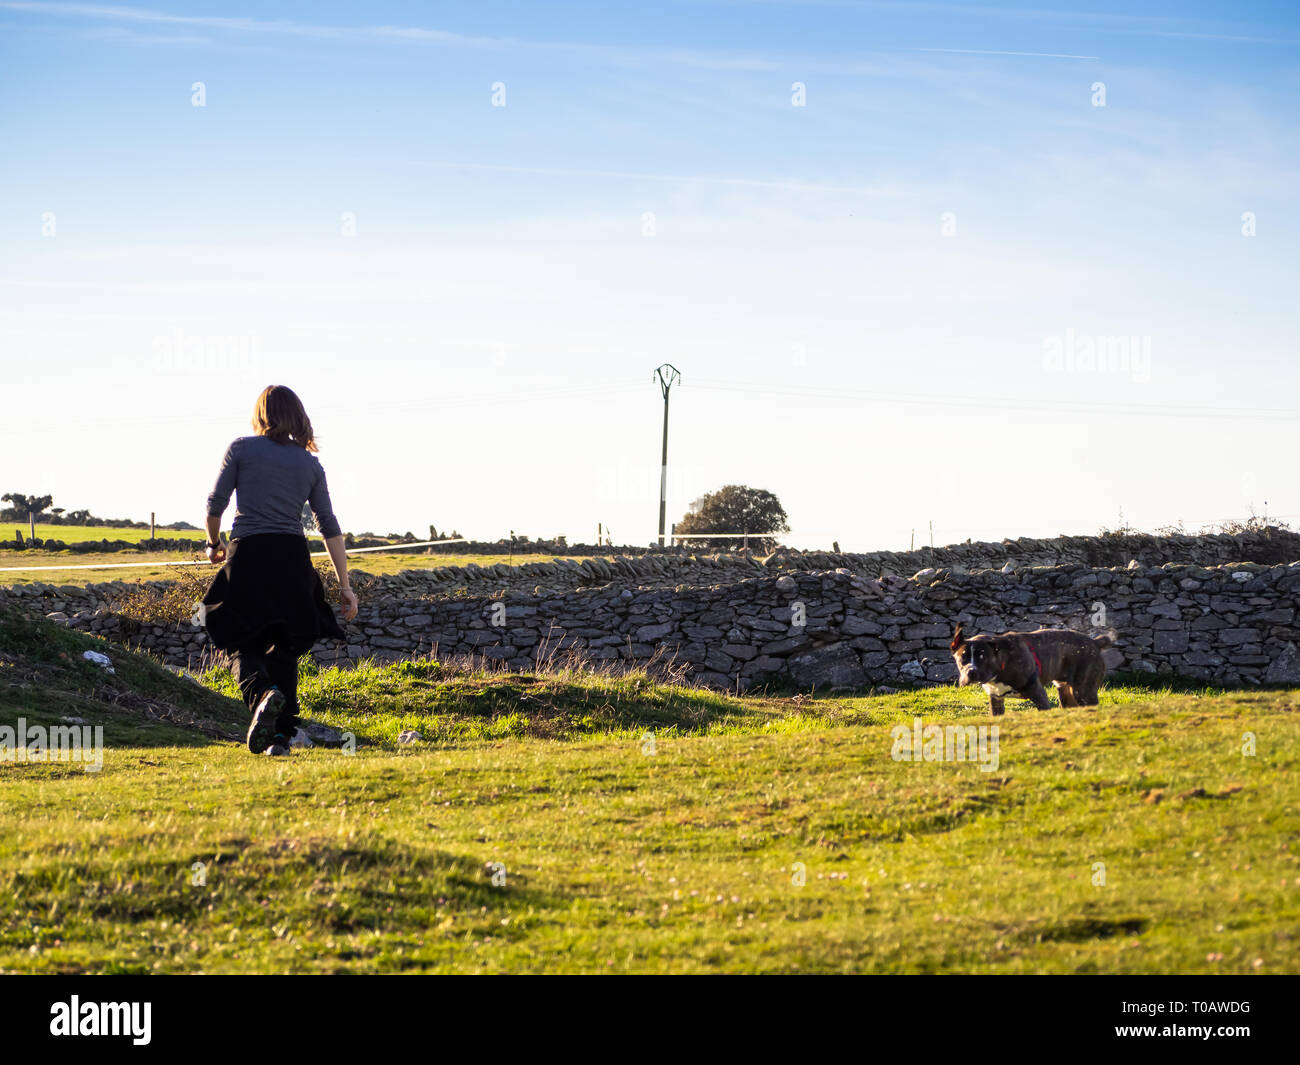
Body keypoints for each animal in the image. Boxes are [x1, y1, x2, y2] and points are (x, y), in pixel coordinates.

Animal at [951, 624, 1112, 717]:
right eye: (962, 658)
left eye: (982, 657)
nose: (971, 672)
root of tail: (1095, 642)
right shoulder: (996, 699)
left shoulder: (1038, 694)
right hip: (1066, 692)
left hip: (1084, 692)